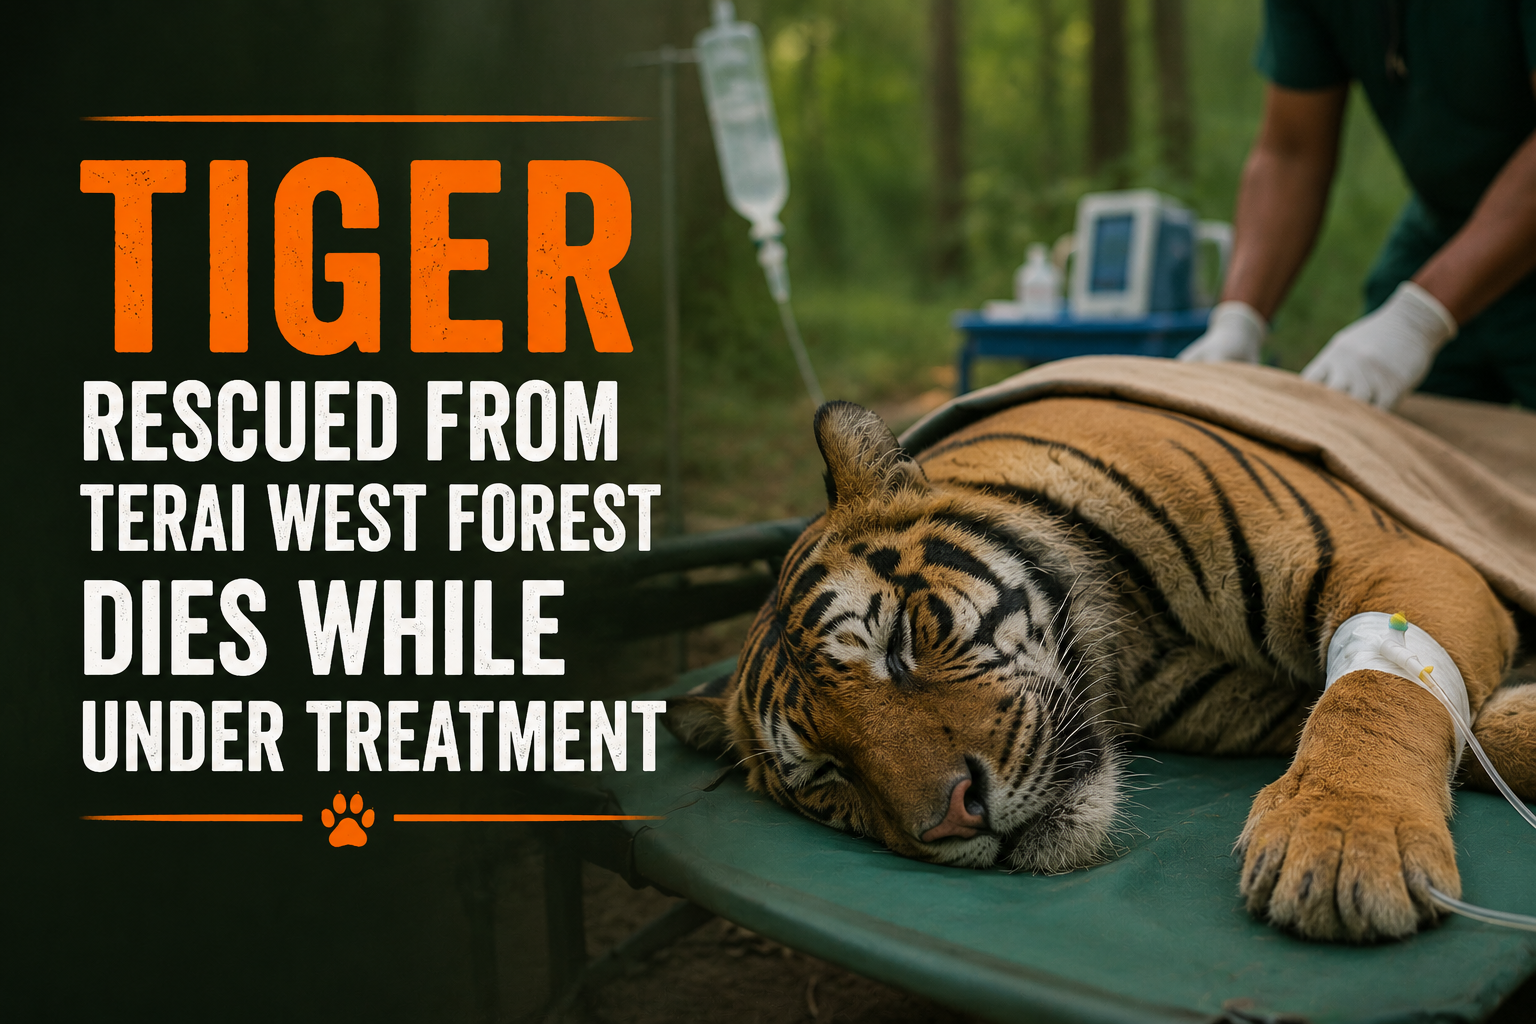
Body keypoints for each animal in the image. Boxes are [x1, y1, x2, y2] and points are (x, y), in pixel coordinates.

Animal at [667, 395, 1536, 943]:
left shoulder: (1402, 555)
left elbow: (1372, 697)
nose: (956, 819)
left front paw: (1344, 844)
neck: (1135, 641)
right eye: (828, 775)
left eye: (900, 643)